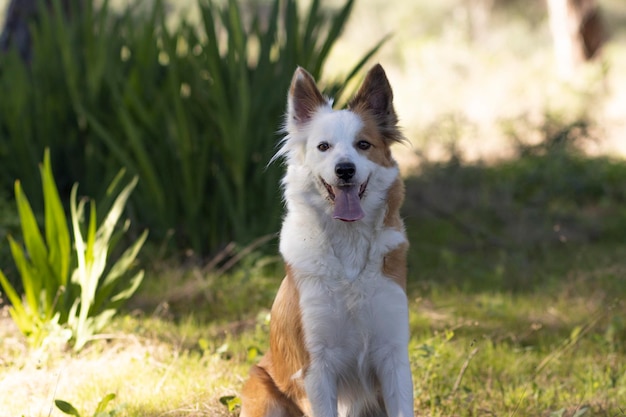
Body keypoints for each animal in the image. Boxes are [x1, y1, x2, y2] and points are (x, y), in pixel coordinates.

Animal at [238, 64, 410, 416]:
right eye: (323, 147)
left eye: (363, 145)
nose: (345, 170)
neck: (347, 242)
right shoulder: (317, 365)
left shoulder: (393, 354)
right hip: (263, 390)